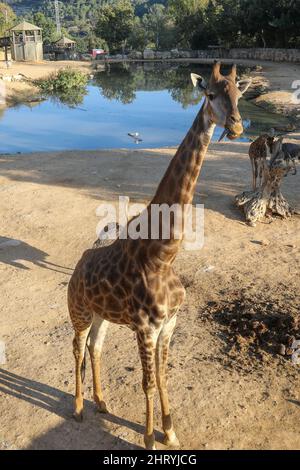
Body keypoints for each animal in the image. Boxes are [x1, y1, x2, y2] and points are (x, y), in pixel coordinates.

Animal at [68, 62, 251, 448]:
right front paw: (151, 439)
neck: (163, 255)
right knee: (76, 348)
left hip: (101, 315)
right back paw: (77, 408)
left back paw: (101, 402)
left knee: (94, 347)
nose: (237, 126)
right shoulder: (146, 328)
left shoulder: (169, 325)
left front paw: (170, 432)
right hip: (78, 311)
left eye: (239, 94)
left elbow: (164, 378)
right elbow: (148, 383)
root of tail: (78, 266)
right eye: (210, 94)